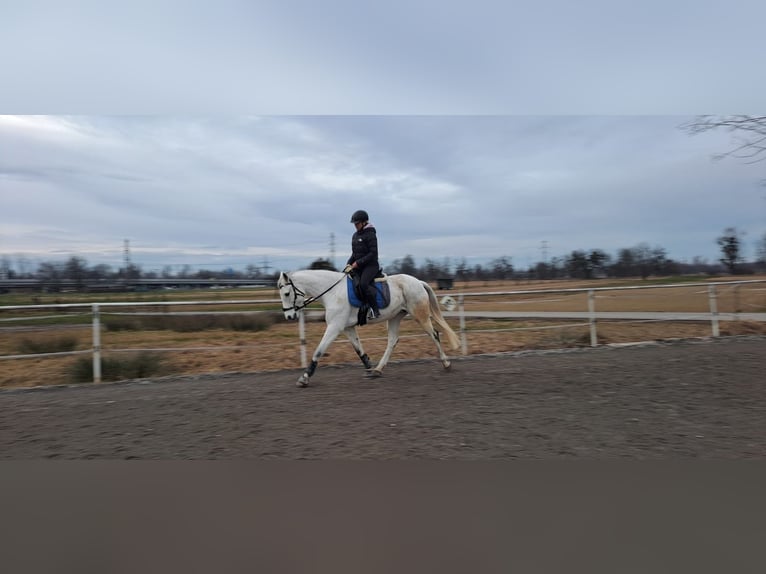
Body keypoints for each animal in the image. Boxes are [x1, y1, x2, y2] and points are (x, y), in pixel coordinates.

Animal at [280, 272, 462, 390]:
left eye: (287, 293)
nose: (289, 316)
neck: (332, 292)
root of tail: (418, 281)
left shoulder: (334, 327)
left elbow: (319, 351)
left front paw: (304, 378)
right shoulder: (347, 328)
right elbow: (359, 349)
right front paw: (369, 368)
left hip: (420, 315)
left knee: (434, 335)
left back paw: (446, 363)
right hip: (395, 317)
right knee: (392, 341)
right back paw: (378, 370)